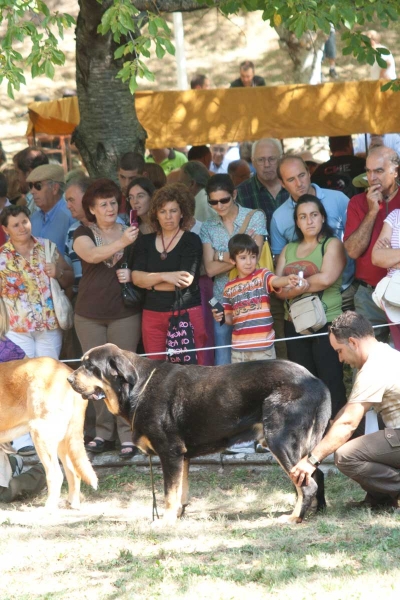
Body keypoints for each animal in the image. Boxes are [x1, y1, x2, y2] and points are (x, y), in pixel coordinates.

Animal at [0, 358, 97, 508]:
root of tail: (67, 372)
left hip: (41, 435)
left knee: (55, 475)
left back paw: (49, 507)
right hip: (63, 442)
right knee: (73, 472)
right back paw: (72, 504)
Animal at [69, 344, 332, 524]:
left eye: (90, 367)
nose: (69, 378)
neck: (138, 387)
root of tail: (317, 381)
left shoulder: (170, 452)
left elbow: (169, 493)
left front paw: (165, 521)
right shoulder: (182, 456)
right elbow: (180, 492)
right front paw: (177, 515)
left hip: (279, 440)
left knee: (307, 485)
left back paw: (294, 518)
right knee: (315, 475)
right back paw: (316, 510)